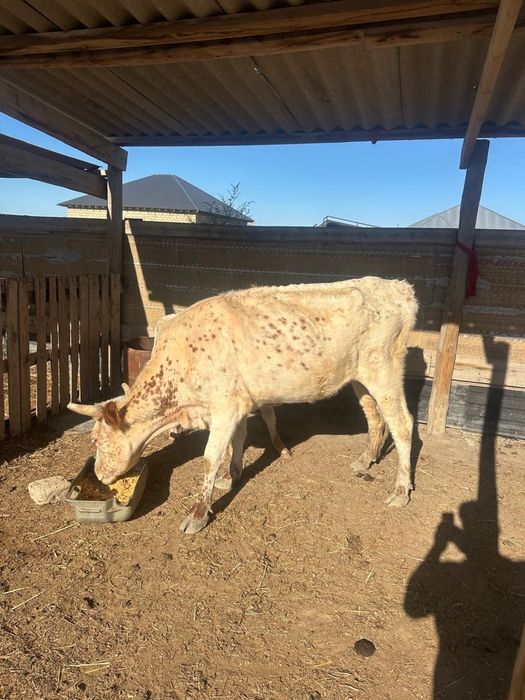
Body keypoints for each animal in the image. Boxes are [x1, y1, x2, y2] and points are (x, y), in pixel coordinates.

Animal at [69, 277, 418, 534]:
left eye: (96, 439)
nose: (99, 475)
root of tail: (398, 287)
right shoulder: (238, 404)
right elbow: (238, 441)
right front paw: (232, 476)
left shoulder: (224, 407)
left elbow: (210, 458)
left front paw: (198, 514)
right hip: (360, 377)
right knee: (375, 417)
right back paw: (365, 460)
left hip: (384, 369)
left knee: (403, 425)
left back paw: (401, 490)